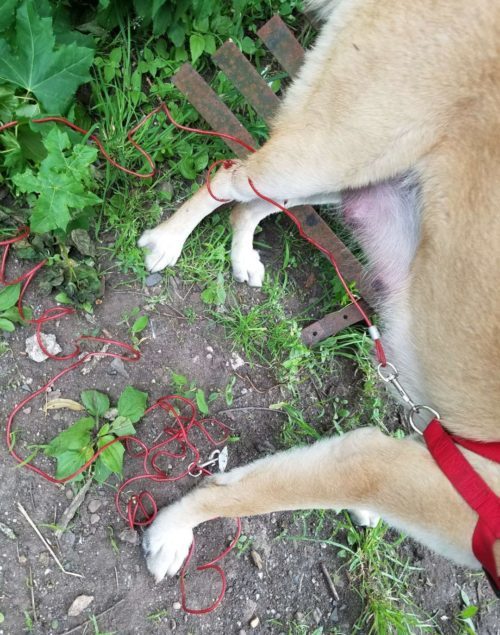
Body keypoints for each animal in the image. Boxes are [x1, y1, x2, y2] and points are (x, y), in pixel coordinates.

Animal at [139, 0, 500, 588]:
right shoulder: (386, 467)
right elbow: (246, 493)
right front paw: (172, 531)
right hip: (332, 151)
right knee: (229, 176)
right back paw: (170, 240)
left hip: (356, 175)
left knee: (251, 204)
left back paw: (242, 255)